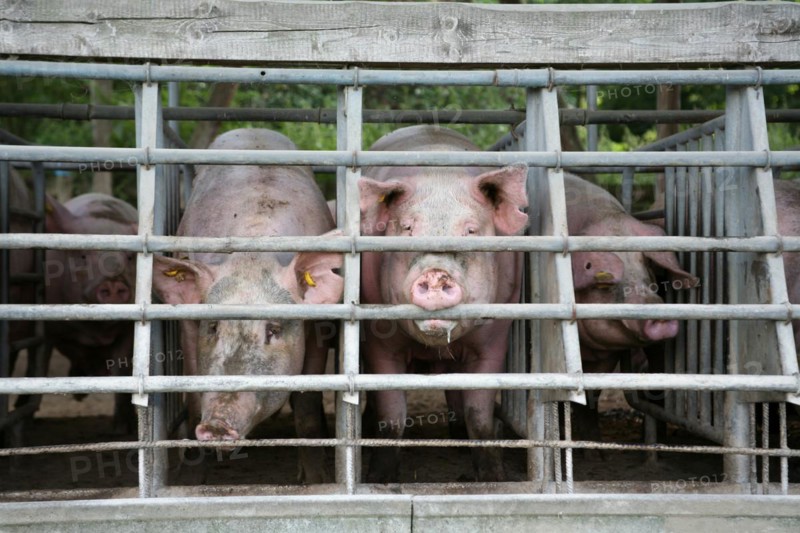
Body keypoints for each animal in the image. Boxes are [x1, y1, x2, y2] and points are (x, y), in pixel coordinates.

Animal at [44, 192, 139, 432]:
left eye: (129, 257)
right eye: (84, 256)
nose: (113, 282)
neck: (98, 329)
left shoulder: (128, 330)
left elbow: (122, 368)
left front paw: (122, 429)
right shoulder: (55, 330)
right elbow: (76, 352)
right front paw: (81, 390)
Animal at [151, 128, 342, 483]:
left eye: (273, 330)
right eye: (214, 327)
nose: (217, 424)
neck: (253, 254)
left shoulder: (317, 329)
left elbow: (307, 405)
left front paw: (316, 481)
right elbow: (193, 397)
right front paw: (189, 482)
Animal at [359, 125, 528, 482]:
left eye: (471, 230)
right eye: (407, 228)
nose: (436, 274)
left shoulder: (496, 335)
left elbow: (479, 413)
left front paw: (493, 479)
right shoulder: (378, 337)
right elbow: (392, 414)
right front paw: (381, 480)